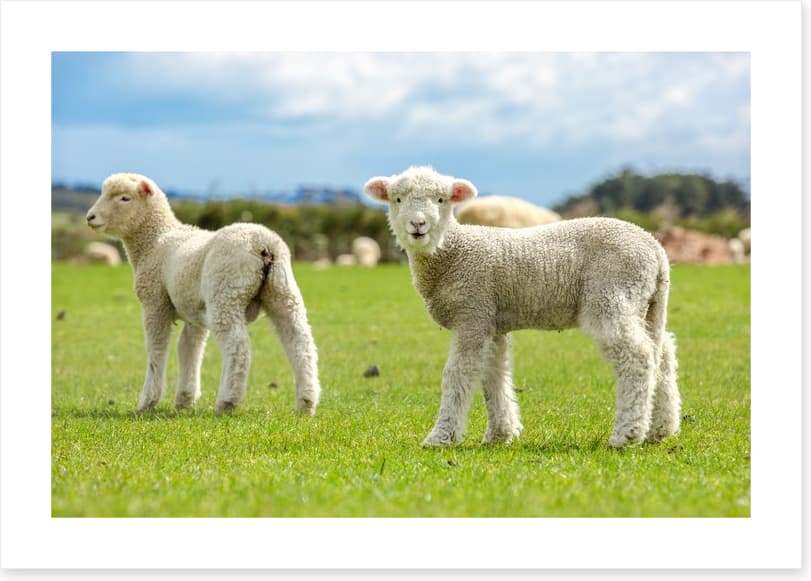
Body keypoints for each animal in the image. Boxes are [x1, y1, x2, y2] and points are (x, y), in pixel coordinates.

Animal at [86, 173, 321, 416]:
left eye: (125, 198)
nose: (90, 217)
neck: (156, 240)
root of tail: (264, 245)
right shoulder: (193, 312)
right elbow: (189, 348)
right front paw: (184, 400)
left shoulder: (155, 302)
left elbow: (157, 349)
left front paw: (147, 402)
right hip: (282, 292)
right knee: (301, 343)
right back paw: (306, 403)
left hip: (225, 293)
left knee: (238, 347)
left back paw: (227, 401)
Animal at [364, 166, 680, 449]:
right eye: (397, 199)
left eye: (441, 200)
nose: (418, 225)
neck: (452, 252)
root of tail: (656, 251)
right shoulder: (491, 321)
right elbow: (494, 375)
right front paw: (499, 434)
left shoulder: (472, 313)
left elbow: (457, 373)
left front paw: (441, 437)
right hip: (647, 304)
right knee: (662, 353)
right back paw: (660, 429)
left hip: (612, 294)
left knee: (637, 356)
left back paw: (626, 435)